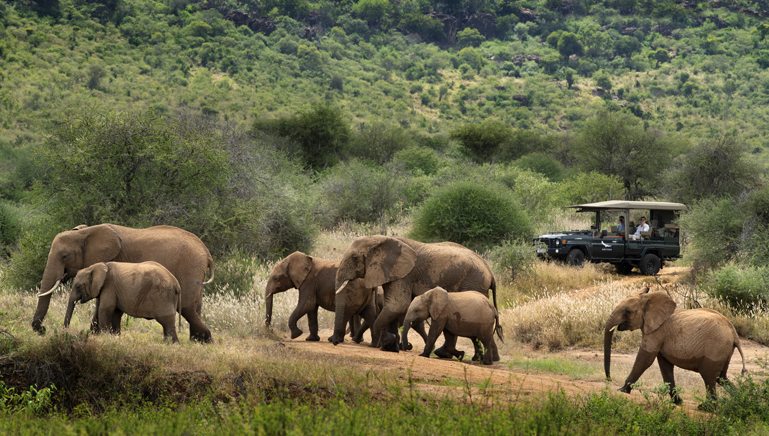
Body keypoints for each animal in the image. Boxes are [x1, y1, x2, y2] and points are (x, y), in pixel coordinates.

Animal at [33, 224, 214, 342]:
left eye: (64, 256)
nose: (42, 330)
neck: (85, 232)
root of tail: (207, 252)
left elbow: (102, 304)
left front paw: (96, 335)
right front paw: (96, 334)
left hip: (189, 268)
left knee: (186, 308)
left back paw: (205, 339)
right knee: (195, 306)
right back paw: (197, 341)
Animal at [331, 236, 498, 356]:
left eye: (354, 257)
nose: (335, 342)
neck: (379, 239)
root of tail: (490, 272)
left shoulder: (403, 275)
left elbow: (397, 305)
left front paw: (387, 342)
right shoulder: (393, 273)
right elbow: (394, 308)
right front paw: (392, 346)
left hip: (474, 282)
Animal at [604, 287, 747, 405]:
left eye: (628, 312)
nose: (609, 379)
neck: (649, 299)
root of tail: (734, 334)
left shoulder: (657, 331)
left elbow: (645, 359)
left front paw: (621, 391)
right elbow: (665, 366)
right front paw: (677, 402)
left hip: (716, 348)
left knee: (709, 376)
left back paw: (706, 407)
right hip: (724, 350)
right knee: (721, 377)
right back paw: (739, 400)